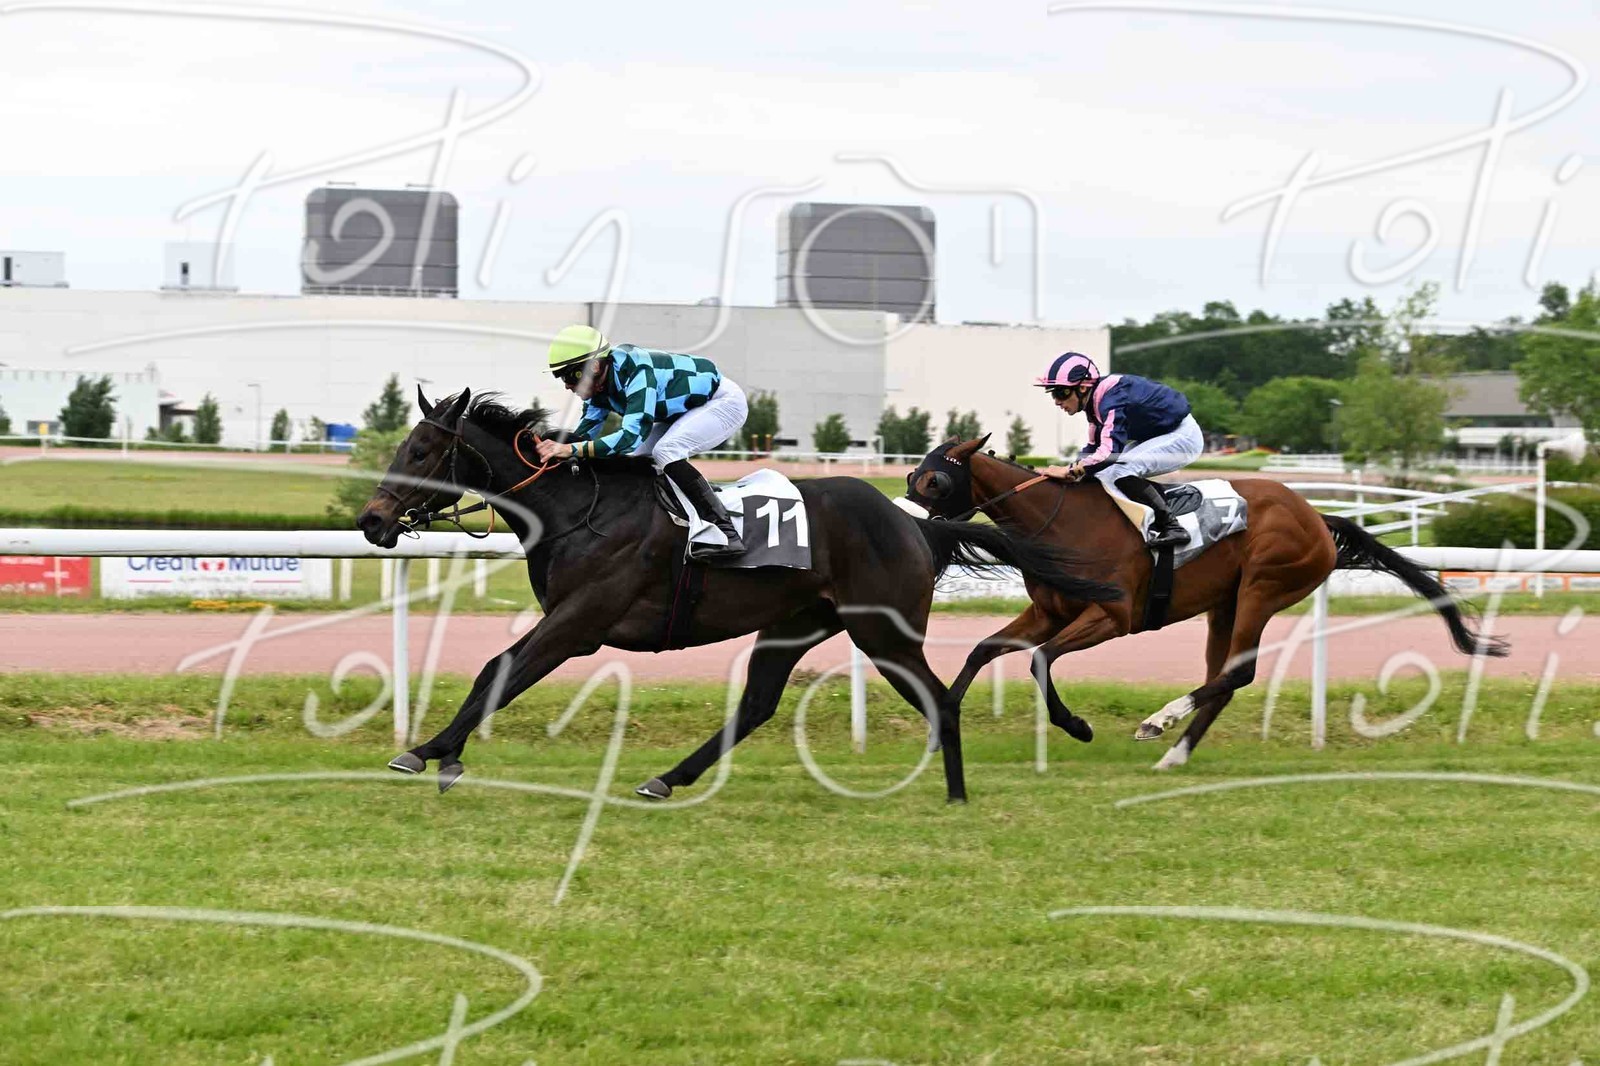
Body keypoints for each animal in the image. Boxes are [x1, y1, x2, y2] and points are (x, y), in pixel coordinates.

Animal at [355, 389, 1121, 802]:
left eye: (420, 452)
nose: (371, 520)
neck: (574, 506)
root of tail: (912, 521)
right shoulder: (573, 620)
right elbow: (500, 671)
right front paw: (438, 750)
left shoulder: (580, 621)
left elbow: (498, 669)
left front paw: (429, 750)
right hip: (795, 624)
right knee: (757, 704)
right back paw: (667, 779)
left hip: (883, 631)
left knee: (939, 699)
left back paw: (957, 794)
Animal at [905, 436, 1507, 769]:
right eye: (912, 474)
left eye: (935, 481)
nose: (903, 519)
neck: (1062, 523)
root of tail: (1317, 516)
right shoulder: (1050, 613)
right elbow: (984, 650)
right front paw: (940, 727)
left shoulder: (1113, 616)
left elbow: (1040, 659)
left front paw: (1077, 725)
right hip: (1226, 603)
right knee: (1224, 678)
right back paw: (1174, 752)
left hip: (1264, 587)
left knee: (1238, 673)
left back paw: (1158, 722)